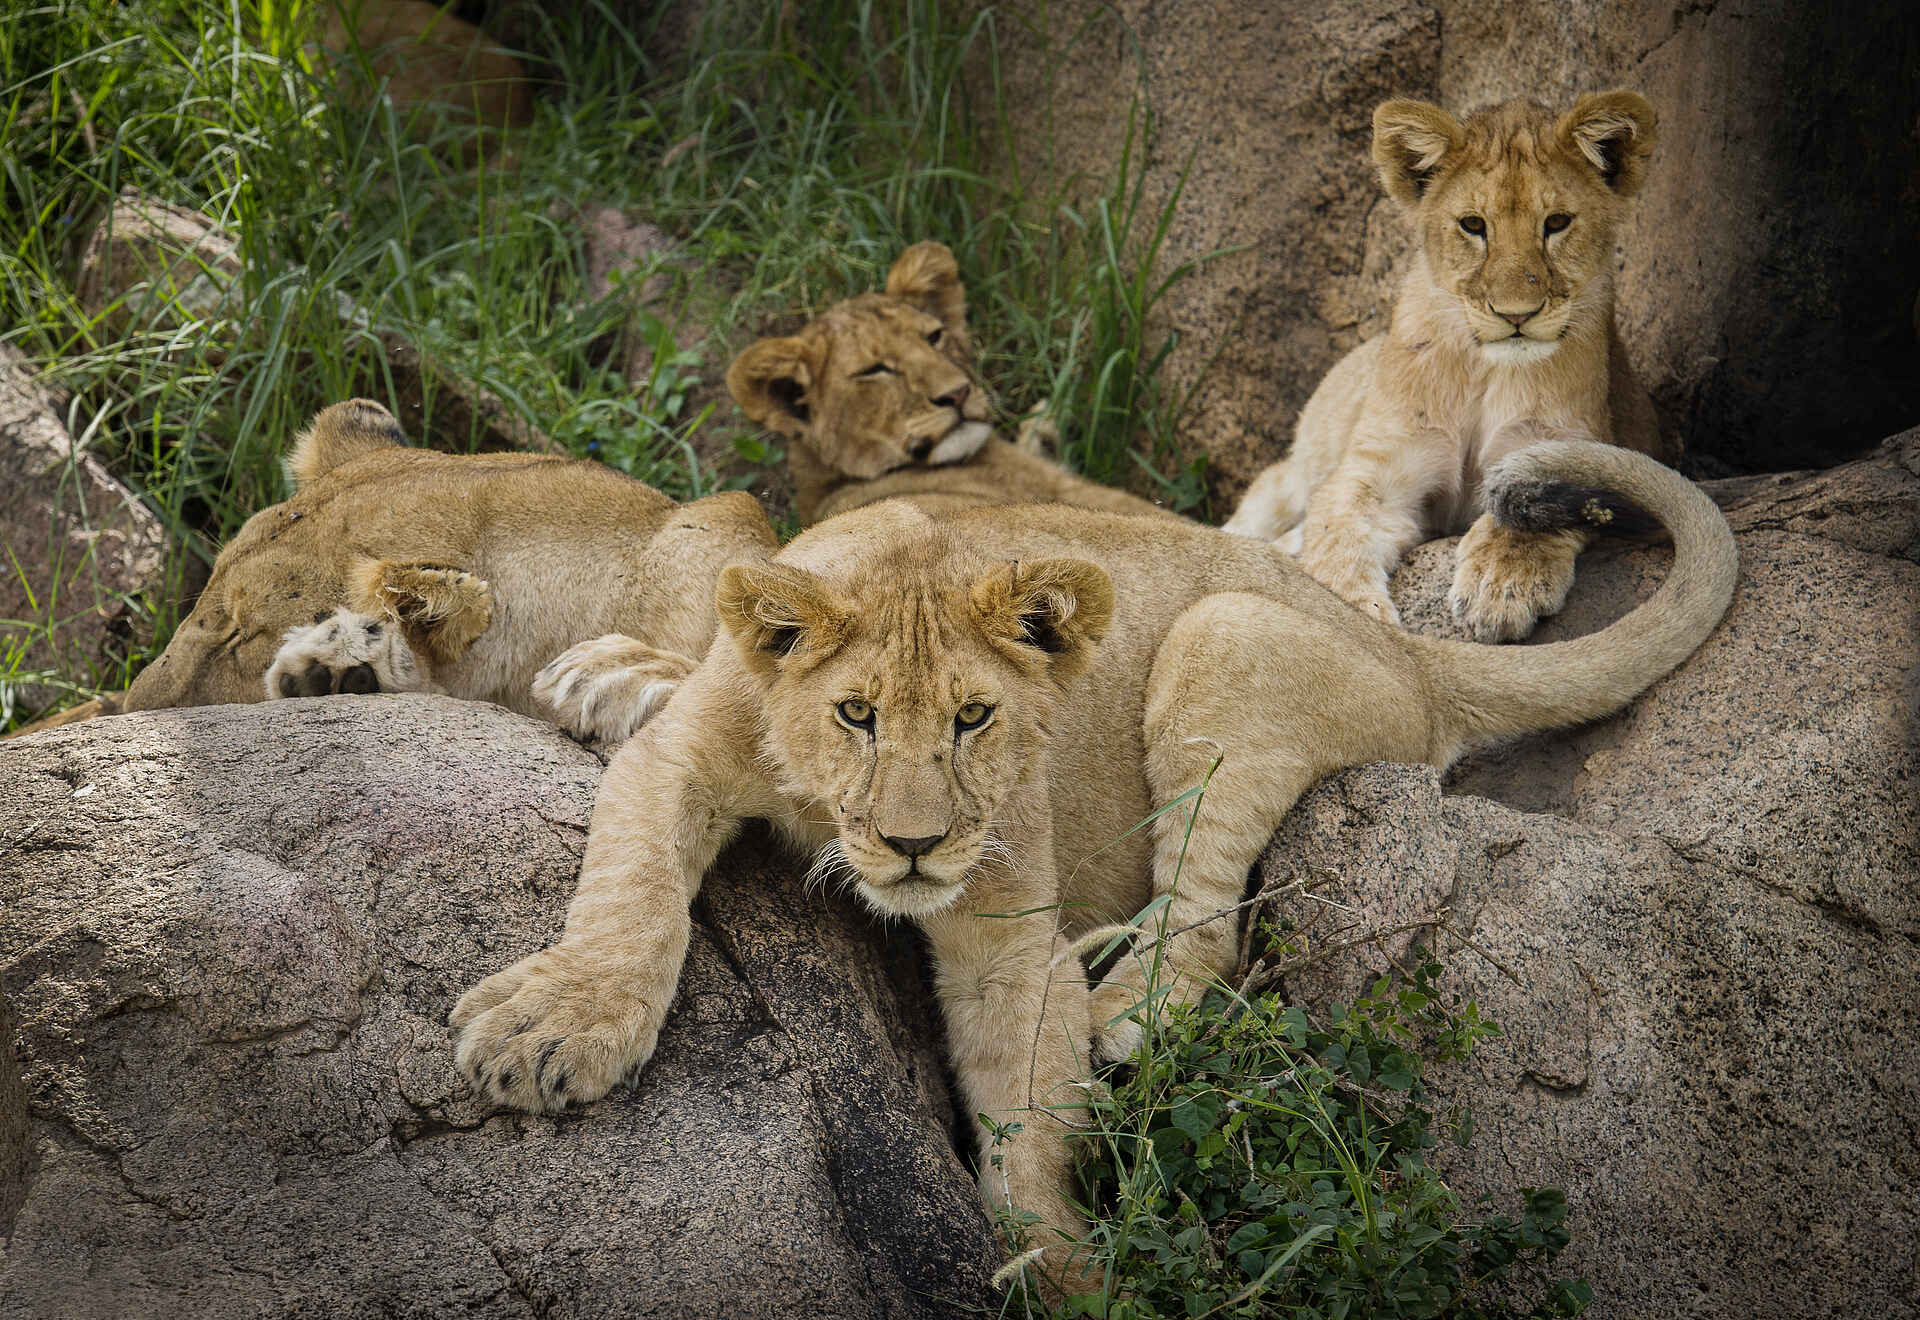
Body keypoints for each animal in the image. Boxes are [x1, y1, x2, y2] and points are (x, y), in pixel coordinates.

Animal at [449, 438, 1736, 1294]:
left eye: (973, 719)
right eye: (856, 714)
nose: (915, 847)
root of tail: (1409, 653)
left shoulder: (1008, 917)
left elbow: (1025, 1096)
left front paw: (1064, 1271)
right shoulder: (682, 760)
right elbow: (631, 893)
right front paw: (559, 1028)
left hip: (1225, 638)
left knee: (1207, 921)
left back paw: (1124, 1008)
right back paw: (608, 674)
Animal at [1222, 91, 1673, 642]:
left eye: (1557, 223)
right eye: (1473, 226)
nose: (1516, 314)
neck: (1485, 371)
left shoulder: (1566, 445)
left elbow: (1530, 513)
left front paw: (1502, 589)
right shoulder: (1376, 467)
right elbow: (1335, 535)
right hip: (1289, 479)